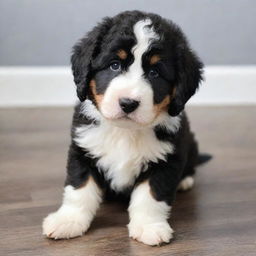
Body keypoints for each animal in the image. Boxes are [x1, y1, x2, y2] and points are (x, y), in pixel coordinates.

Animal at [42, 10, 210, 246]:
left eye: (154, 73)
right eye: (115, 65)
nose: (128, 103)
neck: (124, 132)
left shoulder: (165, 158)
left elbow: (151, 195)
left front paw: (149, 226)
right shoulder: (83, 149)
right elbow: (79, 188)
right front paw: (68, 220)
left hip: (190, 142)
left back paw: (184, 180)